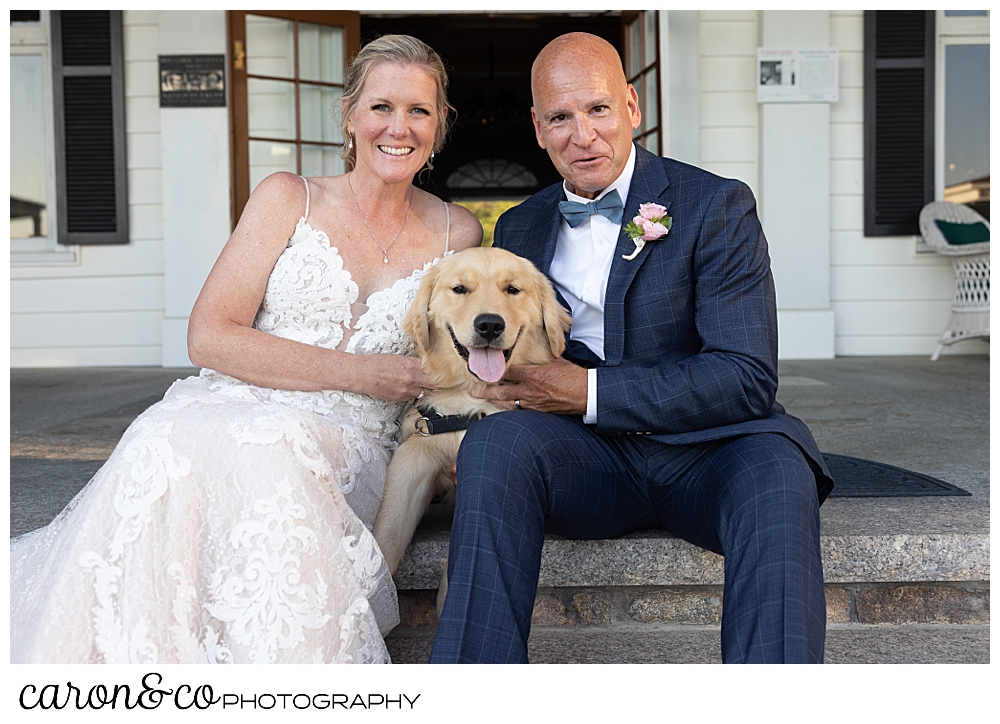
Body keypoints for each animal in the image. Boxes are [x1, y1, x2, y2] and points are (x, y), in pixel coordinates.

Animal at [372, 246, 572, 596]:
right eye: (460, 289)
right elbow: (389, 530)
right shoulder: (414, 455)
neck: (470, 399)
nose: (489, 325)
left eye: (512, 289)